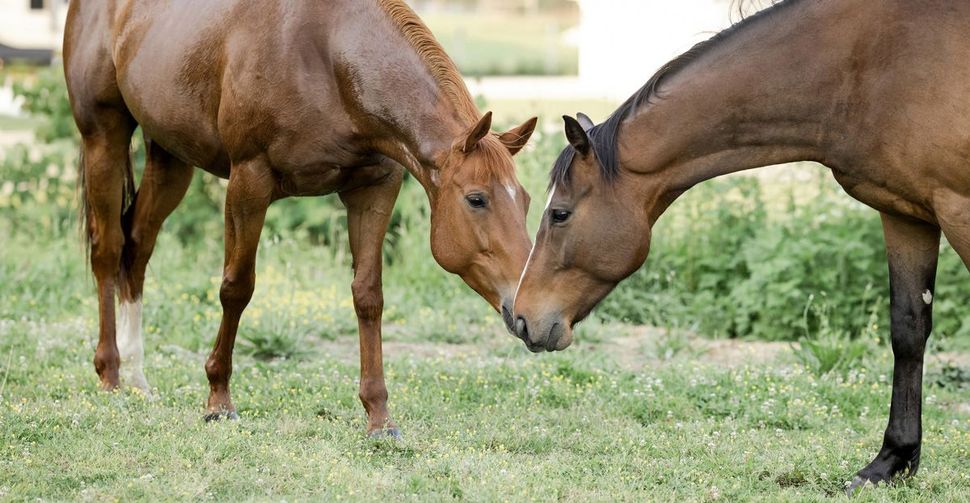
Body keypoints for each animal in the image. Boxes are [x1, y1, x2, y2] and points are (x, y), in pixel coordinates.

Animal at [63, 0, 537, 437]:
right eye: (476, 199)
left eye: (527, 201)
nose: (531, 315)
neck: (328, 57)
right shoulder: (248, 183)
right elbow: (236, 287)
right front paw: (218, 400)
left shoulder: (375, 189)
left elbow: (368, 295)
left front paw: (379, 417)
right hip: (104, 137)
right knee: (108, 250)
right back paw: (111, 372)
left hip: (170, 155)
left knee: (138, 246)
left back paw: (137, 376)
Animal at [512, 0, 969, 491]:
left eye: (559, 214)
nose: (521, 318)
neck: (870, 65)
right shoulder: (905, 214)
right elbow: (908, 330)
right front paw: (889, 462)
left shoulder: (958, 210)